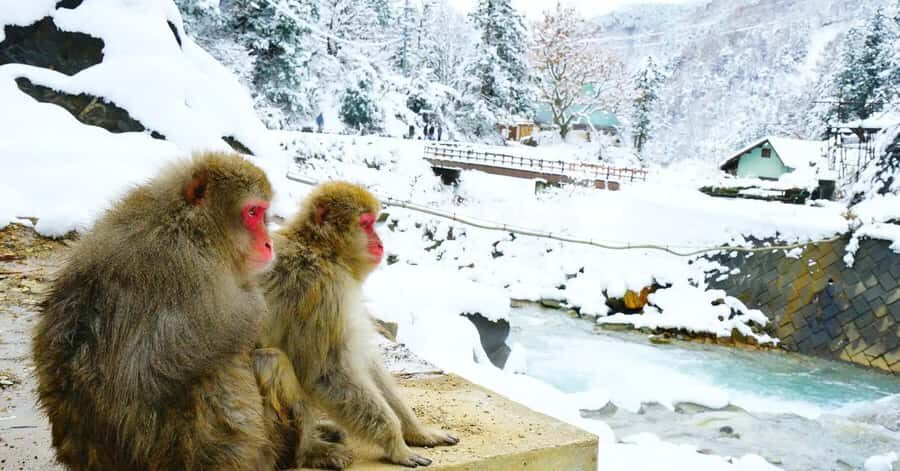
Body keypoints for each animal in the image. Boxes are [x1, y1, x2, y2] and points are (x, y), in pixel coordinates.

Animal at [31, 151, 338, 470]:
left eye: (263, 214)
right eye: (253, 213)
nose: (268, 243)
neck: (196, 227)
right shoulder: (188, 266)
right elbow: (169, 357)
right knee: (219, 371)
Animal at [261, 181, 459, 469]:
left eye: (374, 222)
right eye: (366, 224)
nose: (379, 242)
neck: (322, 250)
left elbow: (365, 361)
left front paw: (417, 431)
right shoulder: (322, 289)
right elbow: (327, 374)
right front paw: (396, 445)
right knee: (272, 361)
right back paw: (312, 450)